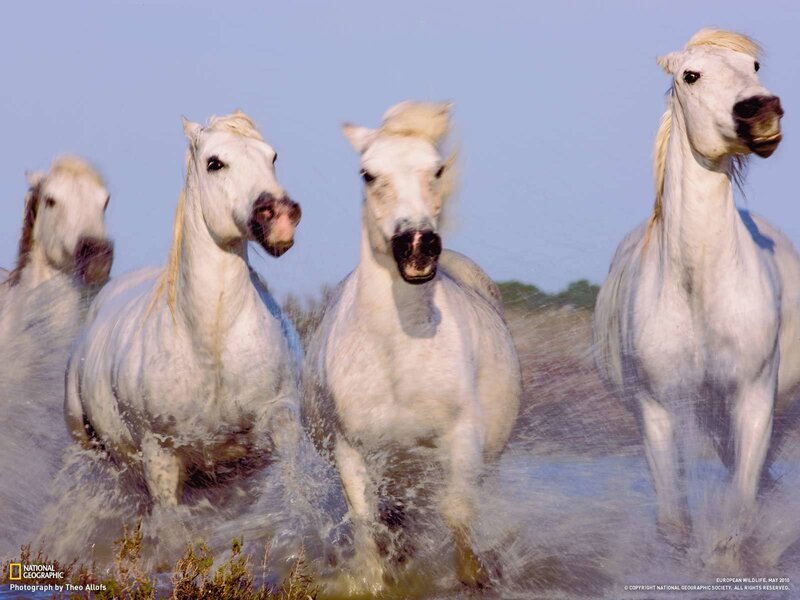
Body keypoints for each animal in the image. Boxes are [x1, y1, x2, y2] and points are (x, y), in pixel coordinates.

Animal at [64, 111, 304, 509]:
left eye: (272, 156)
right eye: (214, 163)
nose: (281, 217)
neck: (211, 343)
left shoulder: (281, 422)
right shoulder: (160, 458)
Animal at [302, 101, 521, 591]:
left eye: (437, 168)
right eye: (367, 173)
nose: (417, 245)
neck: (395, 357)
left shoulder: (461, 437)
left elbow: (456, 510)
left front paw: (473, 573)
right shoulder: (353, 451)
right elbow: (367, 523)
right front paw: (374, 580)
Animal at [593, 29, 800, 558]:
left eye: (754, 66)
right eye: (691, 75)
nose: (762, 111)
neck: (697, 289)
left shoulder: (752, 400)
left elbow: (739, 518)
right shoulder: (659, 410)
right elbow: (674, 524)